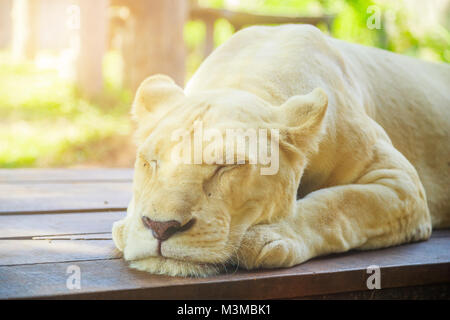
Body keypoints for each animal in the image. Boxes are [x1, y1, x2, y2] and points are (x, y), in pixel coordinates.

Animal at [112, 25, 450, 276]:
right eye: (151, 162)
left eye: (228, 165)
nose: (160, 227)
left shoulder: (403, 184)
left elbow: (340, 204)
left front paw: (268, 238)